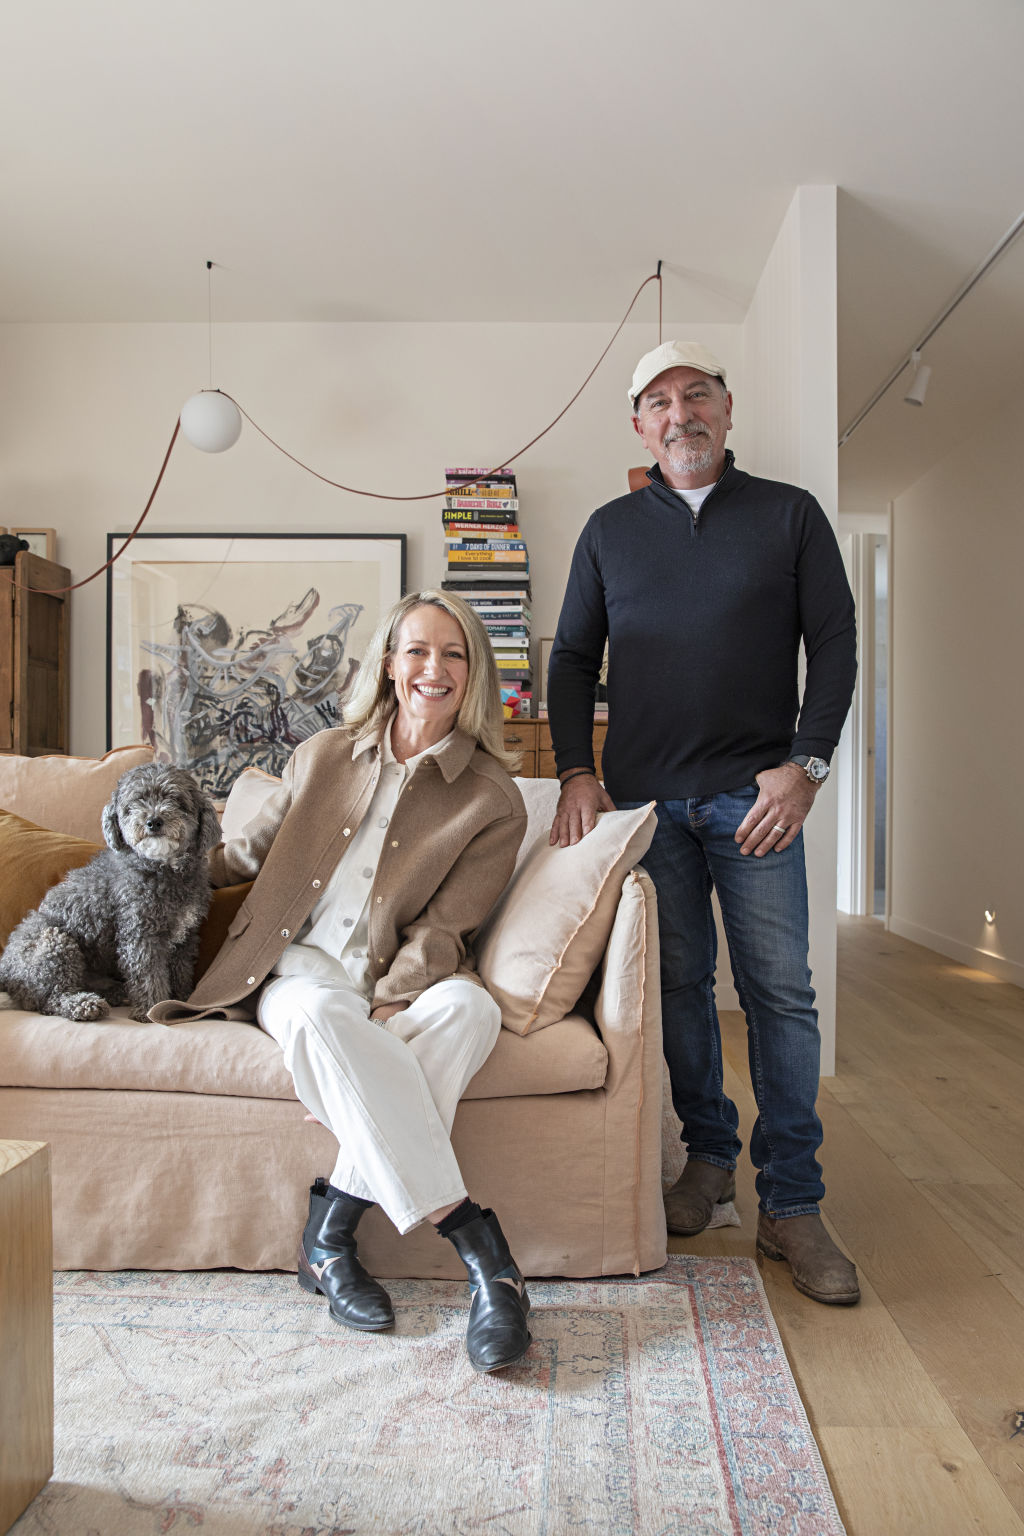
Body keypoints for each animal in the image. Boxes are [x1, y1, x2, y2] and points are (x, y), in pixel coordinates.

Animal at [0, 764, 222, 1026]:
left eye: (175, 799)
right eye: (135, 802)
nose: (153, 821)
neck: (163, 868)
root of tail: (4, 968)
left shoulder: (185, 938)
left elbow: (181, 972)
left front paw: (181, 1000)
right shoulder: (140, 935)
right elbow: (149, 975)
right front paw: (151, 1010)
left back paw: (115, 993)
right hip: (54, 942)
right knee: (51, 999)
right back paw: (85, 1005)